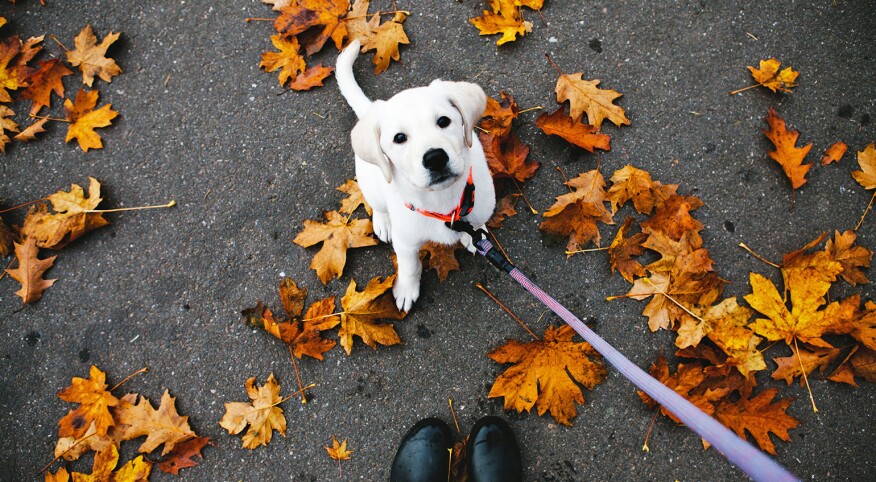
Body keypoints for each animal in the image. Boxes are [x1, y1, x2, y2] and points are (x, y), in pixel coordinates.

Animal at [336, 41, 496, 312]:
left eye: (444, 121)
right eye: (399, 138)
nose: (435, 158)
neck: (442, 202)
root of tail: (371, 109)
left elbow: (475, 225)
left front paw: (473, 235)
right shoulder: (406, 243)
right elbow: (410, 267)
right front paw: (406, 290)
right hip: (373, 186)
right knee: (378, 206)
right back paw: (383, 223)